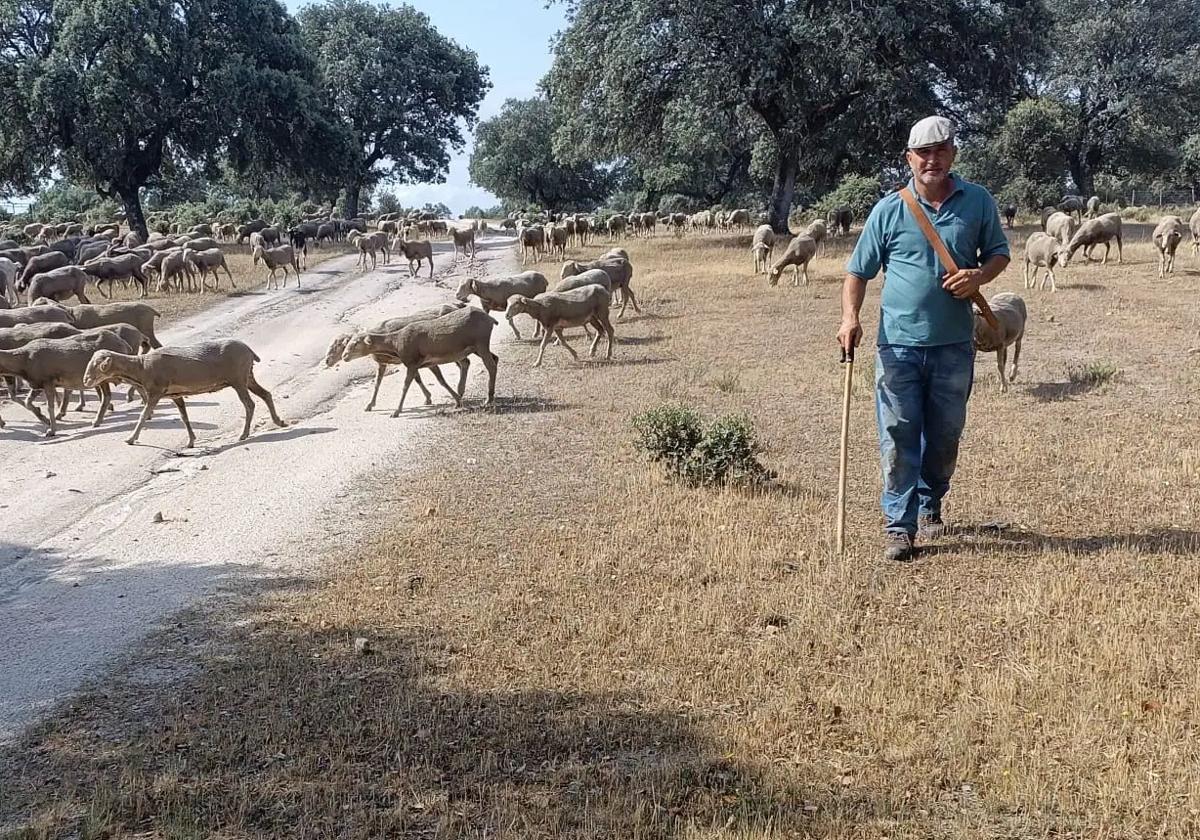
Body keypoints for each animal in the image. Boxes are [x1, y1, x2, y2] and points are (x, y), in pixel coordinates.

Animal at [0, 328, 132, 436]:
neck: (24, 362)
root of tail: (124, 344)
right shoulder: (38, 383)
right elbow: (28, 402)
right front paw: (44, 419)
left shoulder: (48, 381)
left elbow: (50, 406)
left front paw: (51, 430)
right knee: (107, 396)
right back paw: (97, 420)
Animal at [82, 340, 288, 448]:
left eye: (97, 365)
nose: (85, 381)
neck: (140, 368)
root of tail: (249, 350)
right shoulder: (175, 395)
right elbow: (184, 417)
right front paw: (191, 441)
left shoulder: (155, 392)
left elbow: (143, 416)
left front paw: (131, 439)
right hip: (247, 377)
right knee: (266, 394)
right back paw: (279, 421)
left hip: (238, 379)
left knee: (249, 404)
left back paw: (244, 434)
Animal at [340, 307, 499, 415]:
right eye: (348, 342)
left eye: (356, 343)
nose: (344, 356)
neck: (395, 343)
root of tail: (491, 320)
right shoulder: (420, 363)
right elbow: (440, 381)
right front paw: (456, 400)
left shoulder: (412, 362)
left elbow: (406, 386)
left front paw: (396, 411)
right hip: (473, 348)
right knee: (490, 360)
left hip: (481, 342)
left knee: (490, 365)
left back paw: (488, 399)